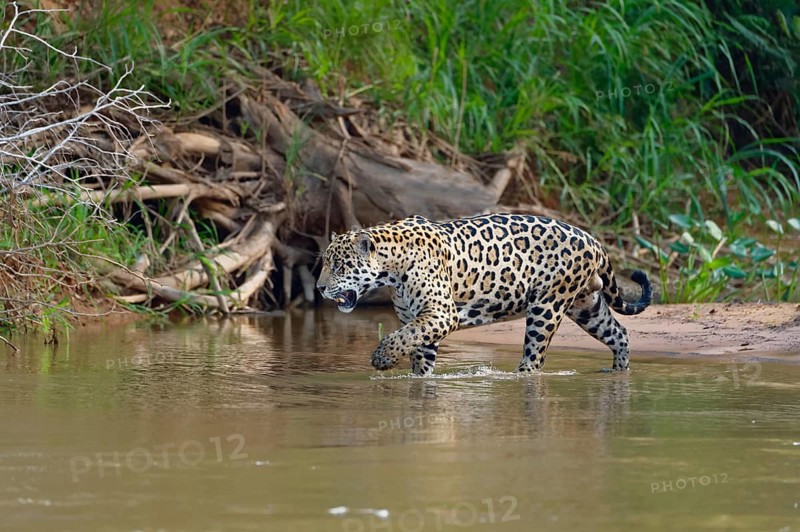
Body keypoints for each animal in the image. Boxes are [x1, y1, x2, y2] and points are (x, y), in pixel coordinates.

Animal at [316, 213, 652, 376]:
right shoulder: (422, 319)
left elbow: (403, 336)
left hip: (546, 306)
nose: (319, 288)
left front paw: (382, 358)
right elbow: (418, 350)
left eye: (339, 265)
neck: (392, 266)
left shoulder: (440, 313)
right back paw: (618, 371)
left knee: (535, 358)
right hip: (586, 305)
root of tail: (593, 240)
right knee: (619, 333)